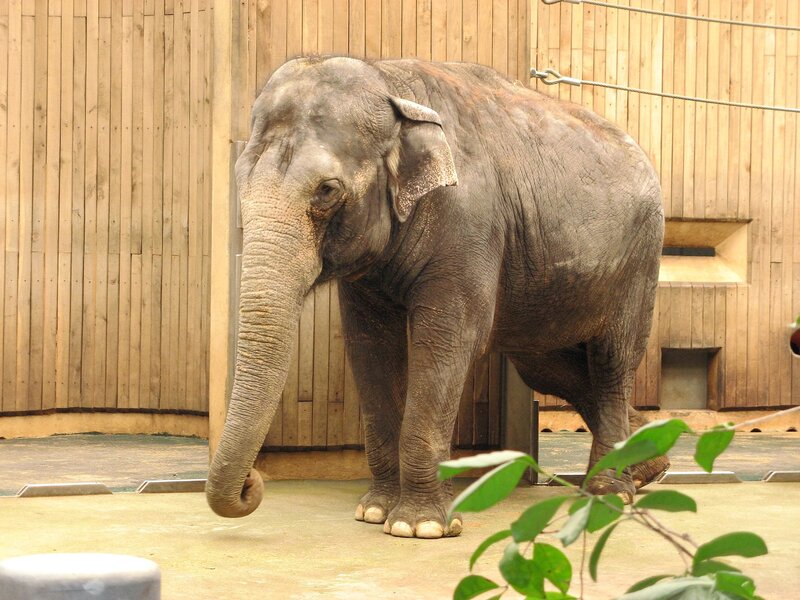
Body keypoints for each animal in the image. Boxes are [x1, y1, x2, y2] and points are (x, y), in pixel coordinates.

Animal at [205, 55, 669, 539]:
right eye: (240, 182)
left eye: (327, 190)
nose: (253, 484)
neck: (391, 86)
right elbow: (370, 346)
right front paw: (375, 510)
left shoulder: (468, 226)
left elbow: (447, 338)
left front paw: (420, 526)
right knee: (552, 369)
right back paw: (648, 467)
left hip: (638, 262)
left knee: (611, 362)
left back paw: (608, 492)